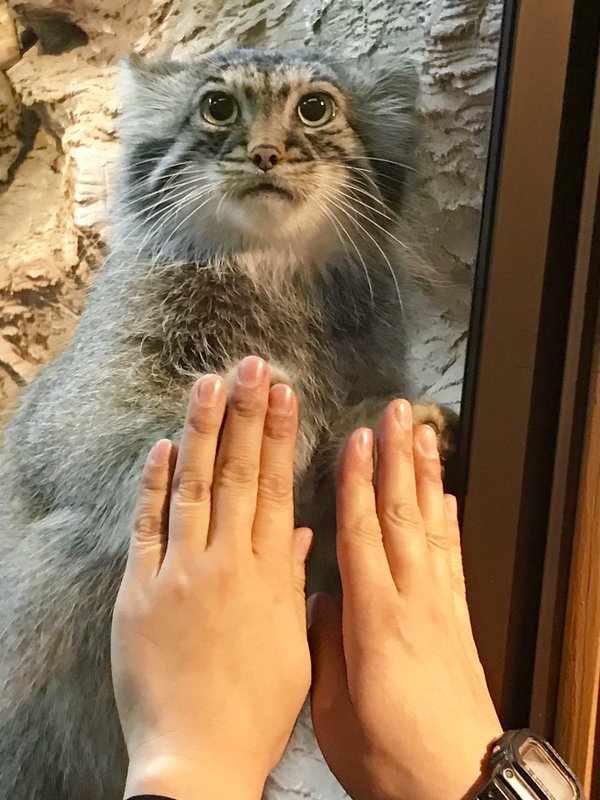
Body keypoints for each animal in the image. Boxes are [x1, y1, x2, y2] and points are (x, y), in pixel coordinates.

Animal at [0, 50, 454, 800]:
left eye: (315, 108)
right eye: (218, 108)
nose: (266, 152)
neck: (271, 278)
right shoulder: (80, 417)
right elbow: (134, 444)